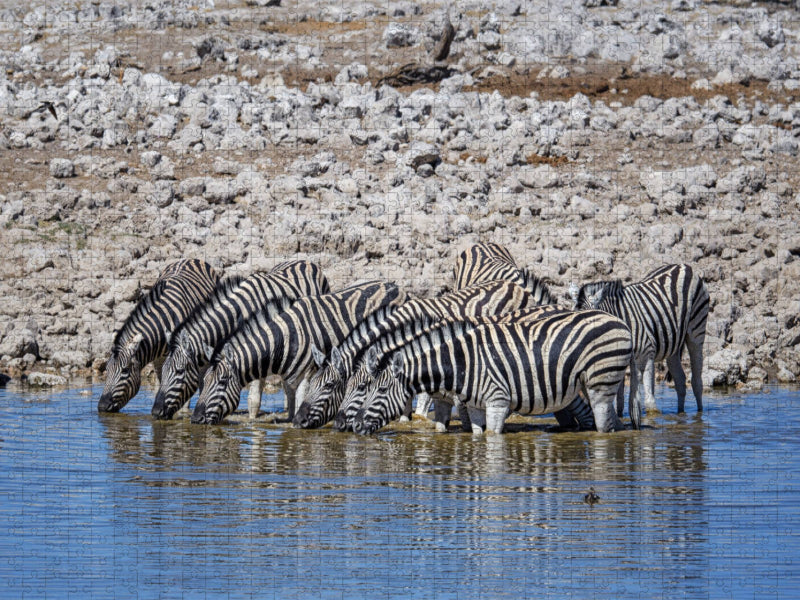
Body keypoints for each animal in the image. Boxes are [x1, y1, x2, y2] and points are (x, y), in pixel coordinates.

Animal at [98, 259, 220, 413]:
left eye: (125, 371)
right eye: (107, 369)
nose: (102, 407)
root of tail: (192, 259)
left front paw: (182, 412)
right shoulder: (157, 359)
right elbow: (162, 383)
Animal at [151, 260, 329, 421]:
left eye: (179, 371)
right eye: (164, 370)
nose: (155, 412)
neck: (237, 314)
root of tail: (306, 261)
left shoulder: (260, 344)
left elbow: (254, 396)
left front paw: (251, 422)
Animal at [190, 281, 406, 425]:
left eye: (222, 382)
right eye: (204, 381)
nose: (195, 419)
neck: (286, 338)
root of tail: (396, 286)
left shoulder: (309, 371)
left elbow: (303, 396)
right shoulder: (290, 372)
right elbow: (289, 393)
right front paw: (290, 417)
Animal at [351, 308, 633, 436]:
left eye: (381, 390)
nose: (355, 426)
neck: (461, 362)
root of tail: (621, 323)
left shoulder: (498, 401)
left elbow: (492, 438)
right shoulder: (476, 405)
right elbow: (477, 435)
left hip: (600, 383)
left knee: (602, 427)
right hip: (600, 384)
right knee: (613, 424)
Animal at [569, 263, 709, 417]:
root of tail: (683, 265)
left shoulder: (647, 354)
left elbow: (650, 403)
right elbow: (619, 401)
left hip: (697, 329)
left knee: (696, 380)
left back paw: (700, 414)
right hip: (673, 342)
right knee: (680, 380)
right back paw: (680, 413)